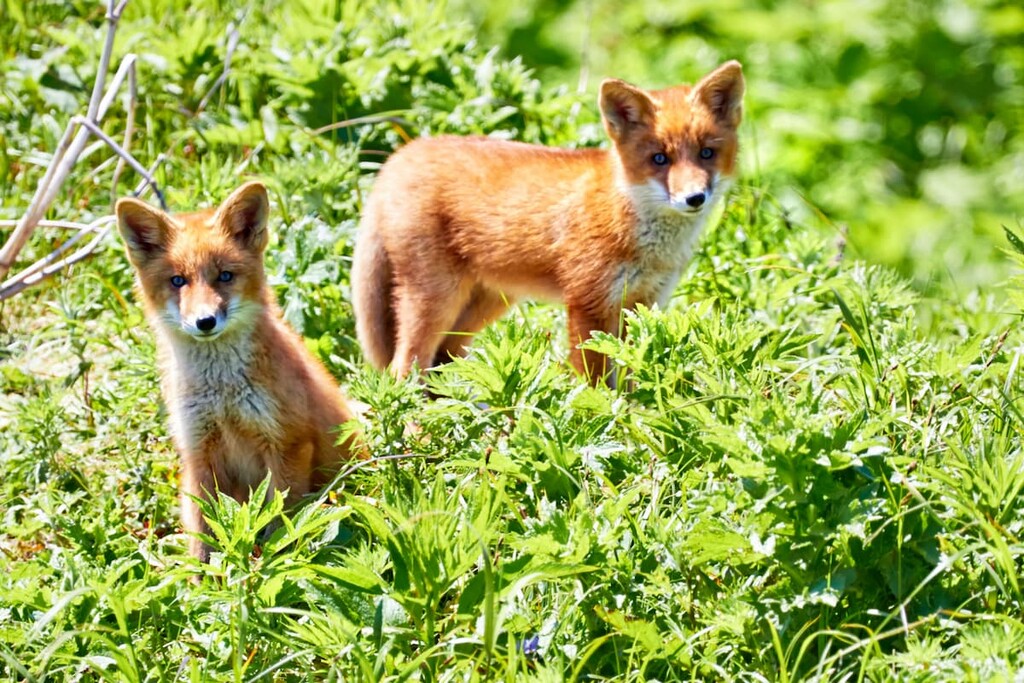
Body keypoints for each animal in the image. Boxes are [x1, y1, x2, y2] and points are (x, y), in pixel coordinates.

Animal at [116, 181, 362, 565]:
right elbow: (206, 533)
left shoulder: (287, 443)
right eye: (178, 281)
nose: (204, 321)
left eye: (225, 276)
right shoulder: (199, 454)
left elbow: (281, 522)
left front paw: (274, 562)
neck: (223, 395)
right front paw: (206, 578)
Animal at [352, 60, 744, 385]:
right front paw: (606, 419)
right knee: (405, 367)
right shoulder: (588, 303)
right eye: (659, 159)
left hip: (486, 302)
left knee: (443, 358)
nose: (694, 198)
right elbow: (598, 384)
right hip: (436, 298)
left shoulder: (643, 304)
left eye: (706, 153)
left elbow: (633, 375)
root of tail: (400, 155)